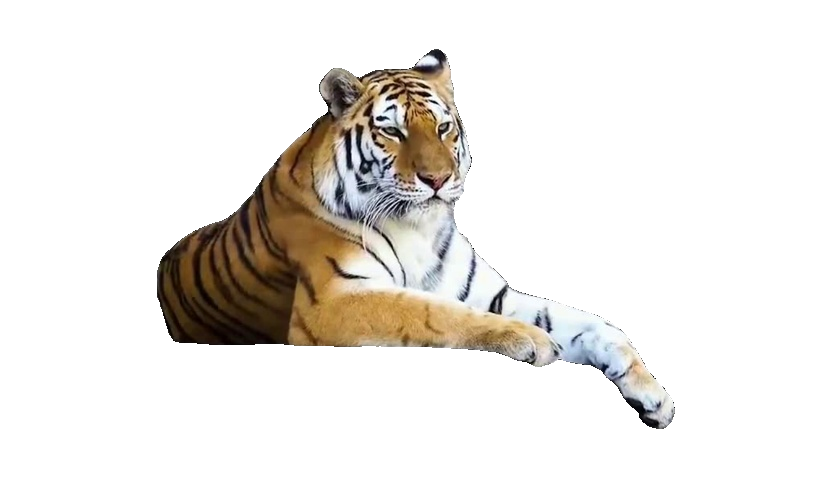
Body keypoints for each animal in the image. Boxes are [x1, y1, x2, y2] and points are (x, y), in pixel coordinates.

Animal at [156, 49, 675, 428]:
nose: (438, 179)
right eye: (392, 131)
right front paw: (531, 339)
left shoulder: (493, 295)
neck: (415, 227)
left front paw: (654, 396)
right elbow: (430, 313)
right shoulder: (329, 304)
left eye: (443, 127)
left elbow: (594, 325)